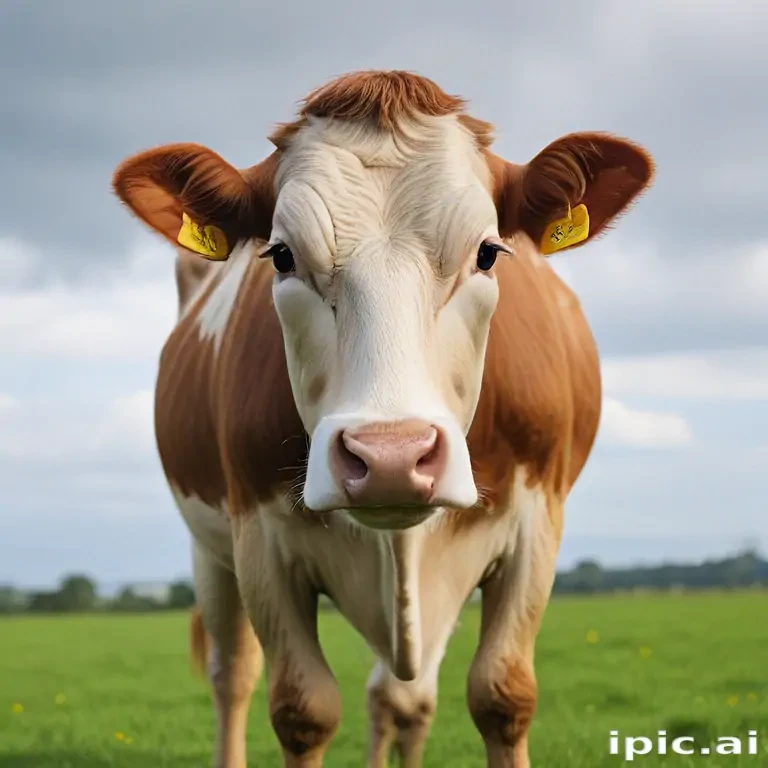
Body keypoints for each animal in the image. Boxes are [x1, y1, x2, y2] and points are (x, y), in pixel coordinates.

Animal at [112, 70, 653, 768]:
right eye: (281, 256)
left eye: (488, 253)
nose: (391, 457)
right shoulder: (259, 537)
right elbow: (303, 709)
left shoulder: (537, 523)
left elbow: (502, 695)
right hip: (211, 551)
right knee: (232, 674)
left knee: (398, 697)